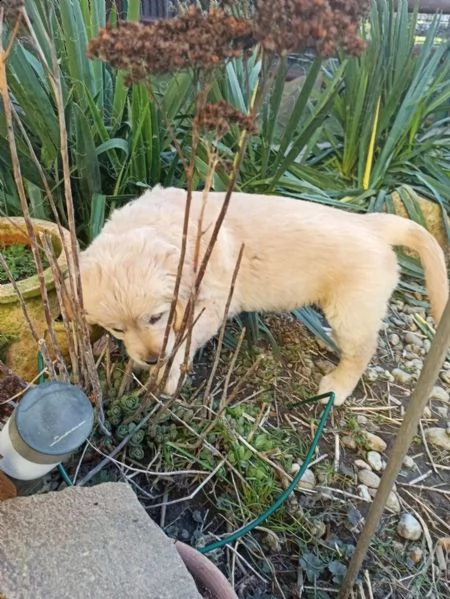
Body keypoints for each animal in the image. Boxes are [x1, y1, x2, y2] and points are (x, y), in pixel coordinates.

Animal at [79, 186, 448, 408]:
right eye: (117, 329)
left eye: (156, 317)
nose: (152, 359)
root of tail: (371, 225)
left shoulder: (211, 304)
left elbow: (184, 339)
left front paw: (166, 375)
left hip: (352, 308)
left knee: (363, 350)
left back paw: (338, 386)